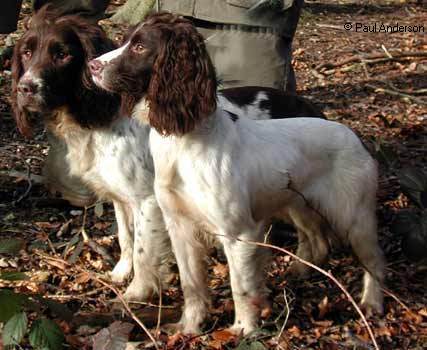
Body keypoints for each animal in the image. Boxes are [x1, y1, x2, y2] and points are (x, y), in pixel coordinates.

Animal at [92, 11, 386, 334]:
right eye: (125, 40)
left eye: (140, 47)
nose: (92, 65)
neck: (186, 140)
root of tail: (354, 137)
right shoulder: (179, 226)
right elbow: (191, 285)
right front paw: (190, 327)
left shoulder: (238, 233)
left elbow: (240, 287)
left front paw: (244, 329)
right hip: (297, 205)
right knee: (318, 242)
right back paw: (298, 271)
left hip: (353, 218)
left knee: (374, 260)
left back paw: (372, 303)